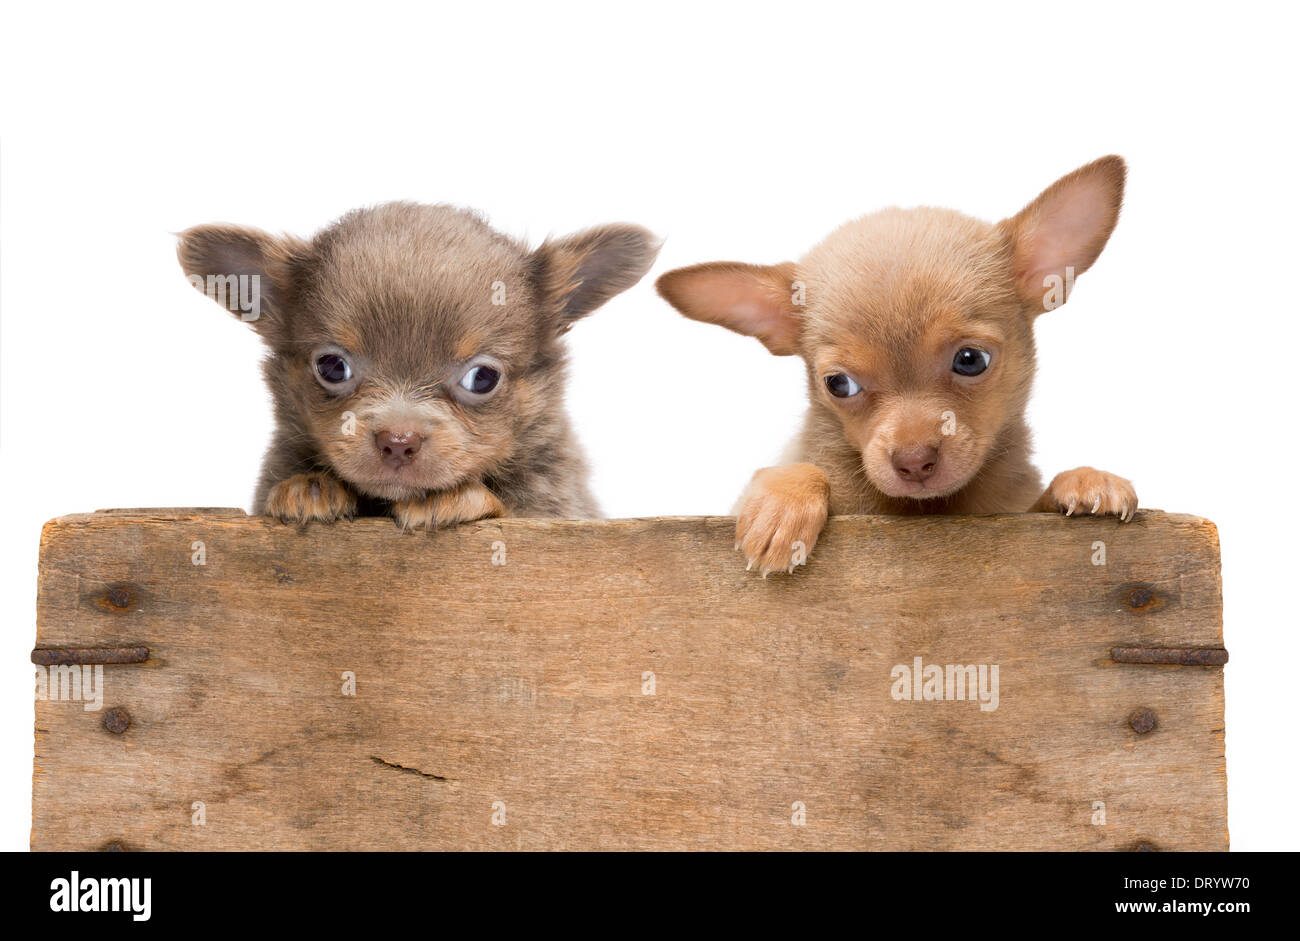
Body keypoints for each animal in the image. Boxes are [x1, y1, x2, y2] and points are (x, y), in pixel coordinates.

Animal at [180, 205, 660, 525]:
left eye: (482, 378)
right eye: (332, 367)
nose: (398, 441)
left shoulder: (557, 508)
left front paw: (451, 499)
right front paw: (309, 485)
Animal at [660, 157, 1138, 574]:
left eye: (971, 361)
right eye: (839, 384)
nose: (914, 462)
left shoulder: (1016, 512)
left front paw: (1084, 479)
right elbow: (798, 469)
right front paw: (783, 504)